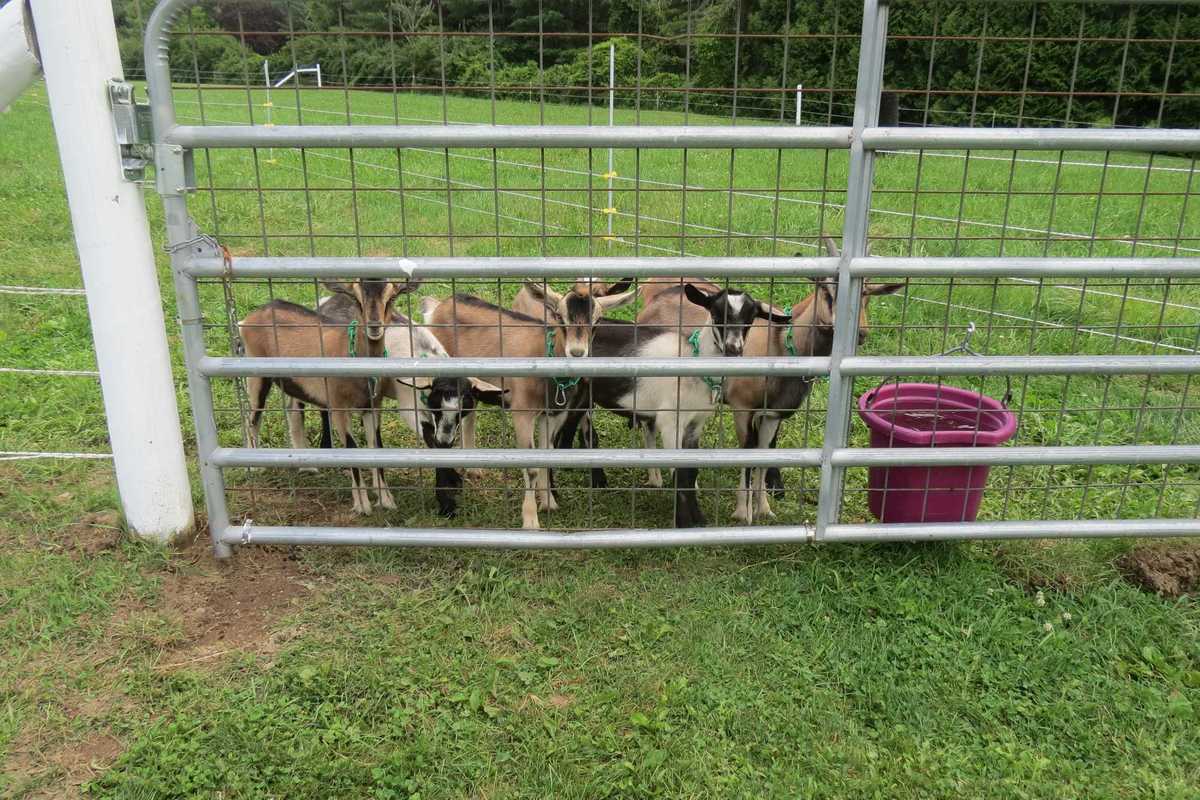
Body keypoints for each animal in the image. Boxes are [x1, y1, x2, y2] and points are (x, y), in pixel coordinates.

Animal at [237, 279, 417, 515]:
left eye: (392, 297)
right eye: (356, 298)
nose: (374, 326)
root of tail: (253, 316)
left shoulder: (372, 406)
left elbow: (377, 446)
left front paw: (386, 500)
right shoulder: (339, 406)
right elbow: (352, 448)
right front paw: (362, 505)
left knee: (293, 412)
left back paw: (307, 466)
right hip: (256, 376)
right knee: (253, 417)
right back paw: (254, 465)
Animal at [423, 283, 636, 529]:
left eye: (598, 320)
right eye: (559, 316)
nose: (577, 353)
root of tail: (441, 305)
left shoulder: (552, 414)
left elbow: (547, 458)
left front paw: (549, 502)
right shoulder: (522, 413)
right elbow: (532, 467)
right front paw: (531, 520)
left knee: (470, 414)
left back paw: (473, 467)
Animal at [560, 283, 791, 527]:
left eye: (750, 318)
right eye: (717, 313)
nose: (733, 348)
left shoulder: (695, 423)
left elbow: (691, 472)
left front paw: (699, 520)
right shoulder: (671, 421)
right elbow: (679, 472)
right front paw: (684, 522)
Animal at [636, 239, 903, 523]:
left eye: (867, 295)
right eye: (826, 291)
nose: (861, 333)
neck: (781, 344)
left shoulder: (773, 414)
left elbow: (765, 455)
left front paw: (764, 508)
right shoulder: (743, 408)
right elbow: (746, 454)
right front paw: (743, 512)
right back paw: (656, 478)